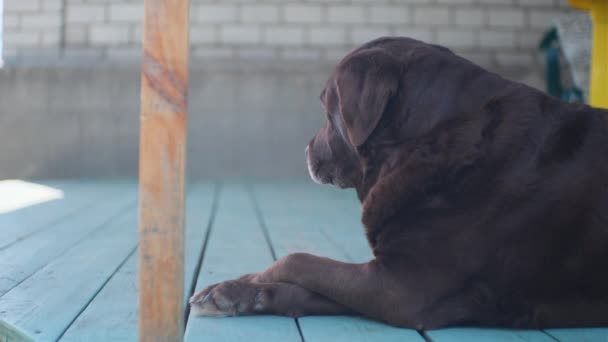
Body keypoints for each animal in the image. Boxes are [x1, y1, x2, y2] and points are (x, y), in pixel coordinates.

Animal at [190, 37, 608, 328]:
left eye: (326, 107)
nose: (305, 149)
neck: (429, 139)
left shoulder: (402, 288)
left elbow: (298, 259)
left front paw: (246, 280)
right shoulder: (386, 278)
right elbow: (305, 286)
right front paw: (238, 292)